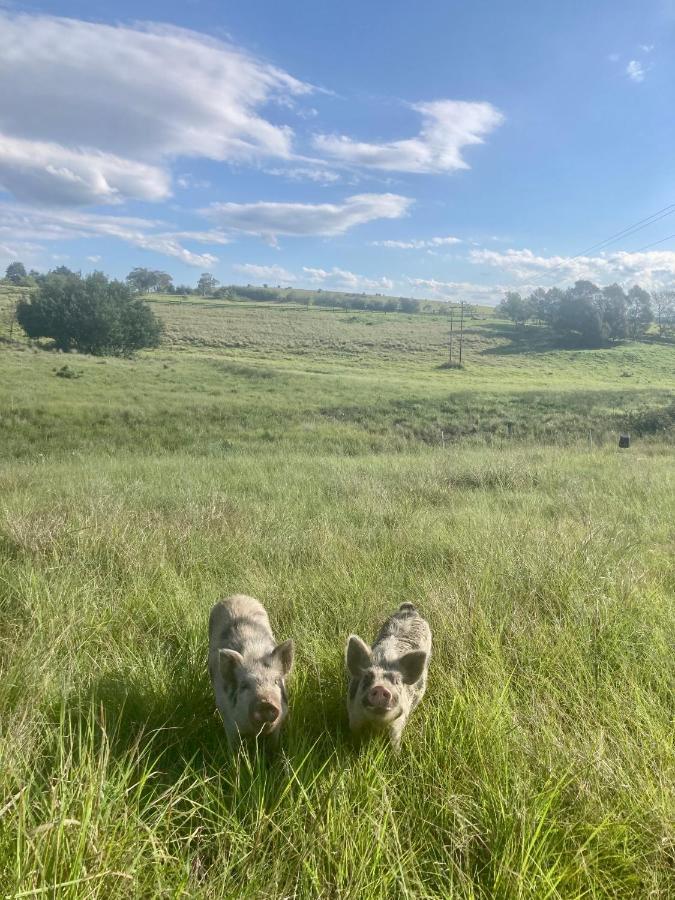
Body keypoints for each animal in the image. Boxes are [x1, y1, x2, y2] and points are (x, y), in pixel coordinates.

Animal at [207, 596, 294, 748]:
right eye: (244, 686)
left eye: (276, 681)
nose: (265, 704)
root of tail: (236, 595)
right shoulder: (228, 718)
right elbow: (234, 746)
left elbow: (274, 743)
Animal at [346, 604, 430, 752]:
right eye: (367, 677)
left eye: (397, 681)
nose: (380, 687)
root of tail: (409, 609)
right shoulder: (353, 712)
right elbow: (355, 731)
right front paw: (353, 746)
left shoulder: (398, 722)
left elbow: (395, 740)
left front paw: (397, 754)